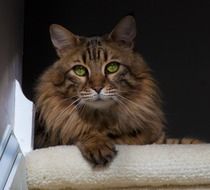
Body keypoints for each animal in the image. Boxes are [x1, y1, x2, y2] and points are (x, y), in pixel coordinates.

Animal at [34, 15, 202, 166]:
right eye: (80, 70)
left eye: (112, 67)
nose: (97, 88)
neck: (105, 120)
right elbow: (82, 132)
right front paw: (98, 145)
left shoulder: (156, 140)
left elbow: (185, 142)